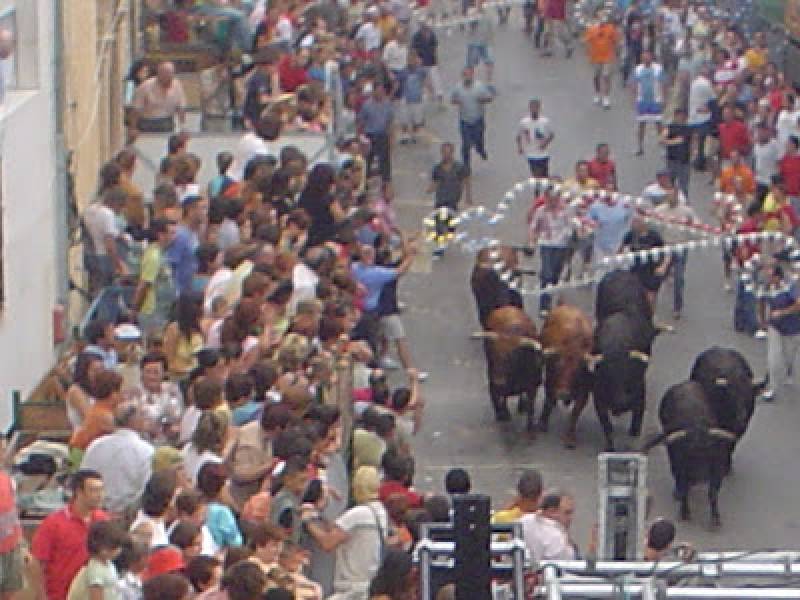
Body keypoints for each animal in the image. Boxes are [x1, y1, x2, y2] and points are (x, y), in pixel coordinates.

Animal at [536, 304, 592, 446]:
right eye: (558, 367)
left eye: (577, 372)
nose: (563, 393)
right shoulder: (550, 380)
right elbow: (548, 400)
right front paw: (542, 423)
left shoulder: (585, 390)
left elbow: (575, 412)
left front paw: (570, 437)